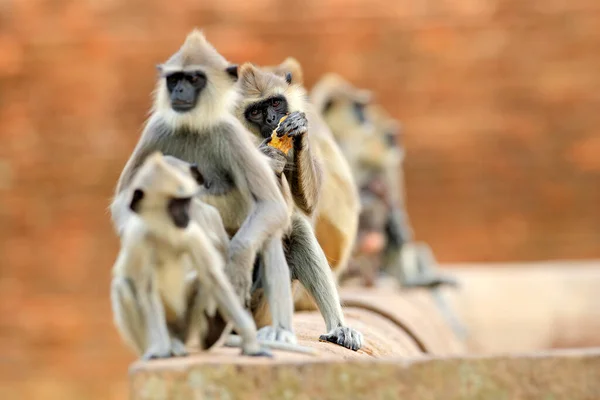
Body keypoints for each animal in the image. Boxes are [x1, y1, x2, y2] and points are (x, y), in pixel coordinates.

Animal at [110, 29, 298, 346]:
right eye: (175, 79)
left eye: (194, 78)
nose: (178, 91)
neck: (193, 126)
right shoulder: (156, 130)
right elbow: (124, 201)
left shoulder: (230, 133)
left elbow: (269, 205)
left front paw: (236, 268)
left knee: (269, 233)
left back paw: (279, 331)